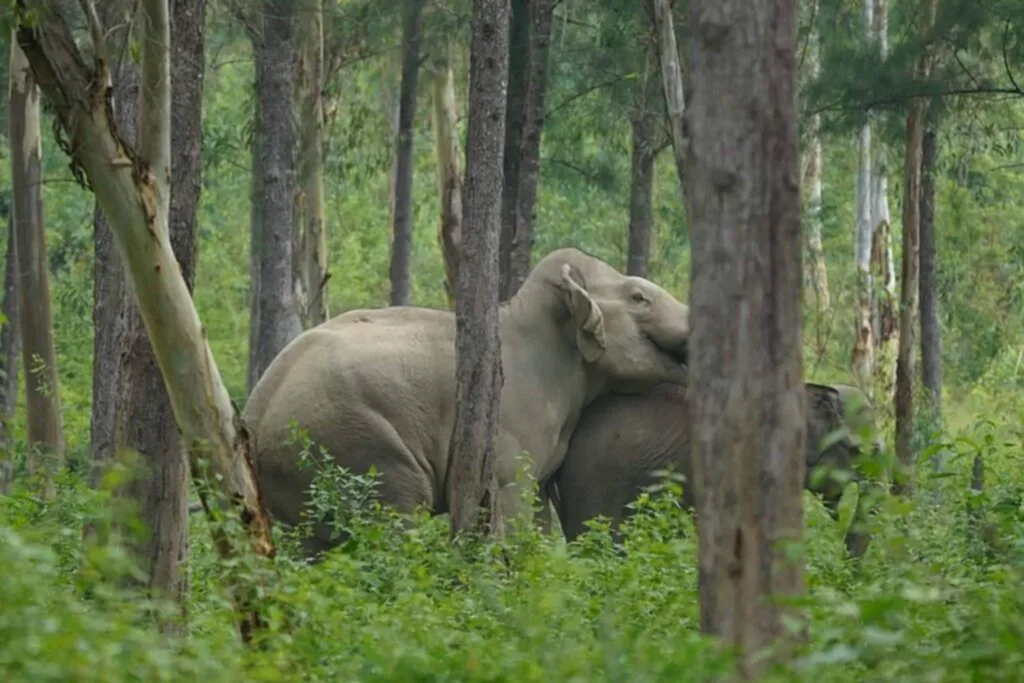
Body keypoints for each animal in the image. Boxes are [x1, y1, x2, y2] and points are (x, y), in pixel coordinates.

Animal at [240, 248, 692, 557]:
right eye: (639, 297)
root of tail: (254, 415)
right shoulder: (511, 428)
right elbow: (512, 500)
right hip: (354, 445)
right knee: (395, 518)